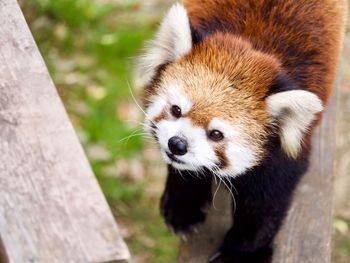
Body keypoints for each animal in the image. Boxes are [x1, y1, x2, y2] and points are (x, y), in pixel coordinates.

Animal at [135, 1, 346, 262]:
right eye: (176, 110)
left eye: (216, 134)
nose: (177, 144)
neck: (251, 44)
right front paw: (183, 204)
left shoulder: (284, 152)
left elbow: (265, 204)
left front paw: (241, 252)